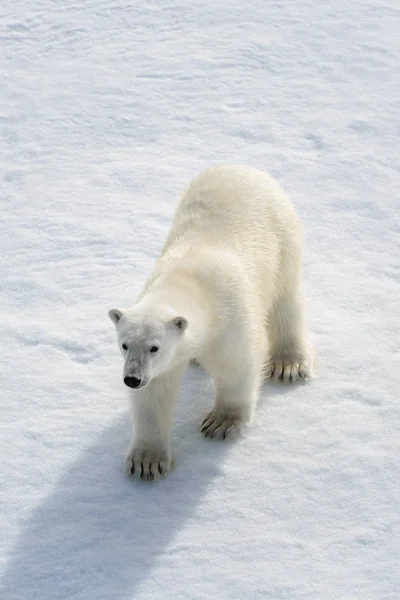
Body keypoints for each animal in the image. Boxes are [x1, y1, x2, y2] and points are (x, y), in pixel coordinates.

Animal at [108, 165, 312, 482]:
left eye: (154, 347)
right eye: (124, 344)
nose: (132, 379)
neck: (188, 280)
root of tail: (243, 168)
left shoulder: (230, 315)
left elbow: (237, 365)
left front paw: (221, 423)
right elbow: (155, 393)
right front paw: (147, 462)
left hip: (283, 237)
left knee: (285, 300)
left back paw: (288, 363)